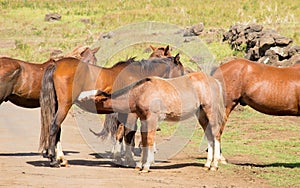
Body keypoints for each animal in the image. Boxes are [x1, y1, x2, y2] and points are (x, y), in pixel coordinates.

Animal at [38, 53, 184, 167]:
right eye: (182, 71)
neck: (138, 75)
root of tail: (56, 65)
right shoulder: (131, 113)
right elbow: (129, 133)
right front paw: (129, 160)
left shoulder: (122, 112)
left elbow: (120, 134)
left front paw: (118, 157)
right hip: (64, 106)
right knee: (54, 126)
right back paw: (53, 159)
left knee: (57, 129)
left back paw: (61, 158)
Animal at [79, 72, 225, 172]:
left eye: (89, 98)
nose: (76, 99)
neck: (141, 92)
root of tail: (215, 82)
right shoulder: (144, 119)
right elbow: (144, 141)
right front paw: (140, 165)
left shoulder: (152, 118)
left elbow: (149, 140)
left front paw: (147, 165)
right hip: (201, 115)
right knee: (209, 136)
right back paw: (207, 164)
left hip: (210, 112)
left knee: (216, 134)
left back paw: (214, 165)